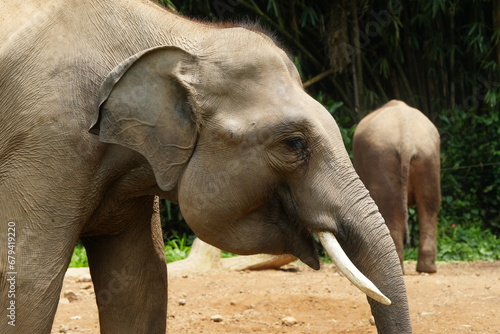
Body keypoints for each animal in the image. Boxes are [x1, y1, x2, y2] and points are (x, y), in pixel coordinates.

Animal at [352, 100, 442, 272]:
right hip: (427, 158)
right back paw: (427, 269)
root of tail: (406, 140)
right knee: (429, 204)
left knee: (393, 209)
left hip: (387, 158)